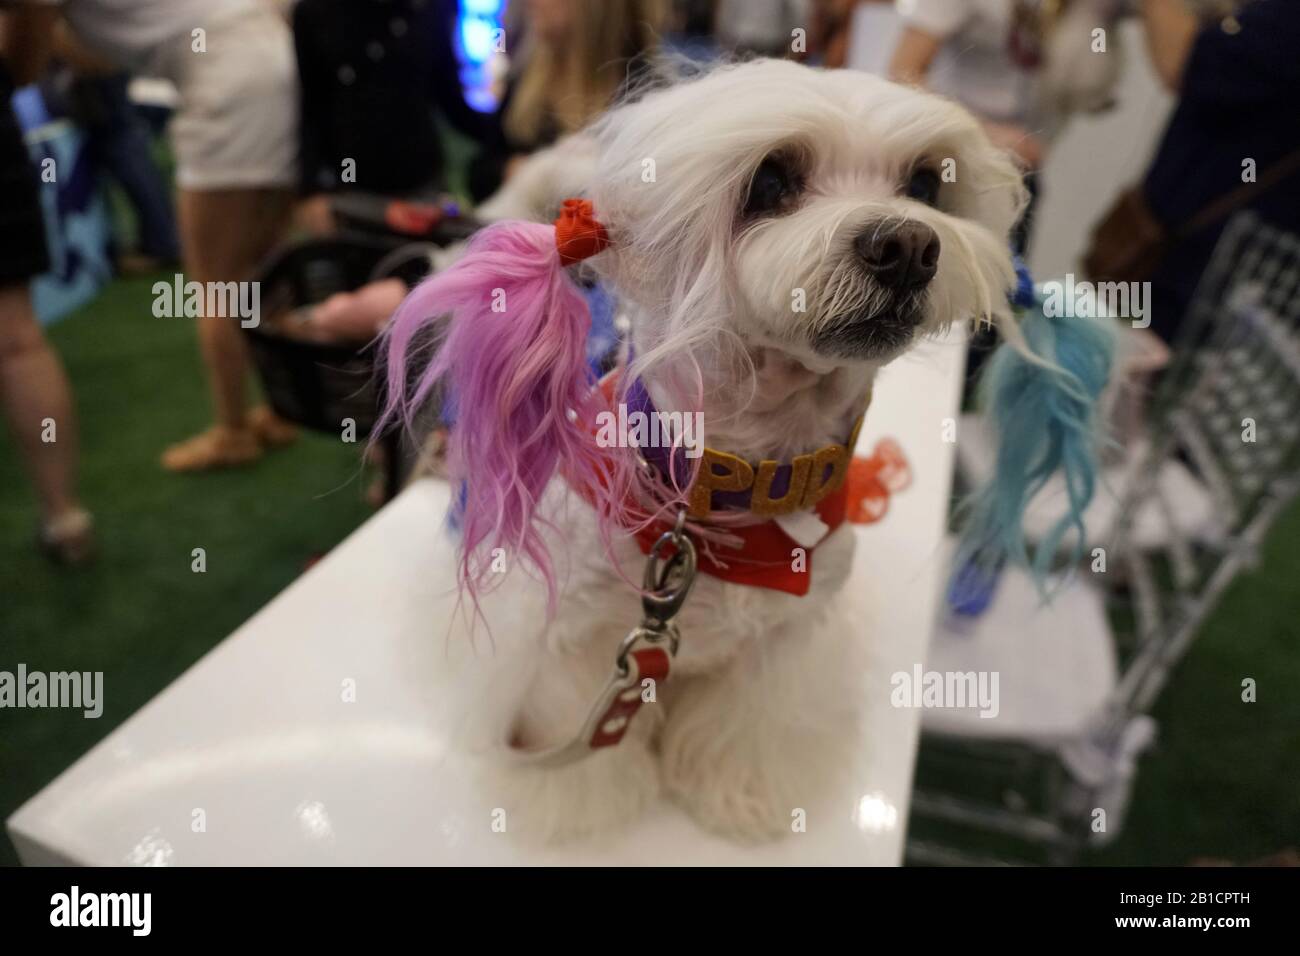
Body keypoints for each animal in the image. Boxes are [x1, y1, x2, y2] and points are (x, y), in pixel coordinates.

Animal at [381, 58, 1107, 843]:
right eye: (771, 180)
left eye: (924, 184)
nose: (910, 246)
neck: (729, 496)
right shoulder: (563, 646)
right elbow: (570, 735)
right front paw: (584, 805)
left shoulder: (784, 650)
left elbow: (750, 729)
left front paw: (737, 796)